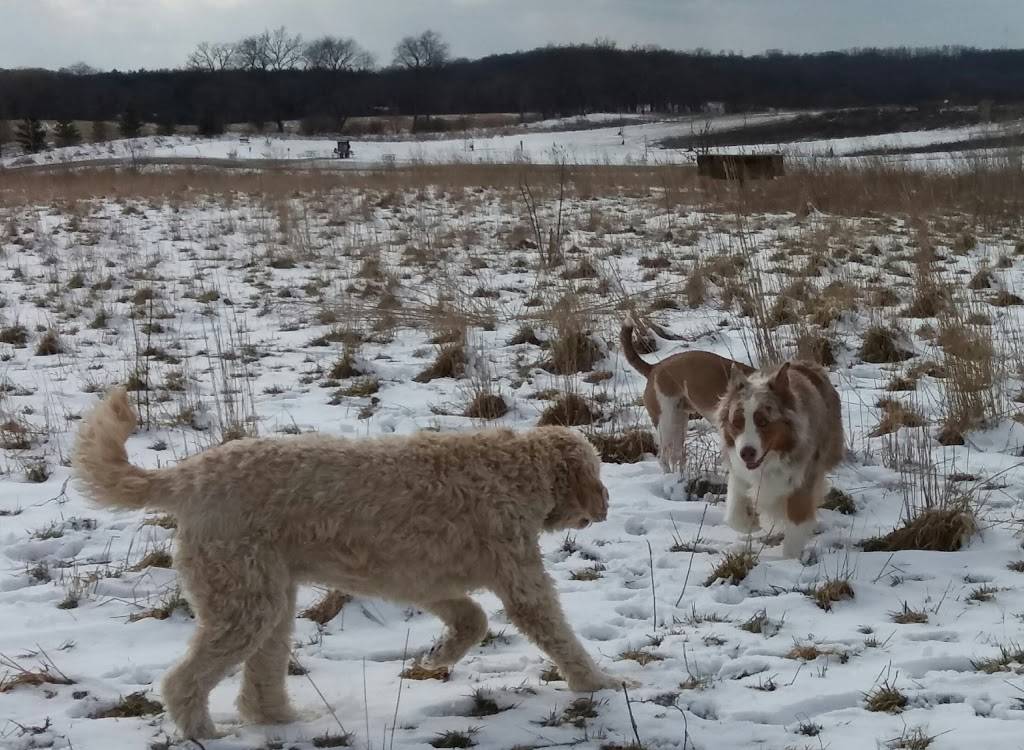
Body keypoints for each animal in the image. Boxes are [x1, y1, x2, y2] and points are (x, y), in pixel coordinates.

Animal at [74, 393, 622, 737]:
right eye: (596, 473)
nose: (607, 505)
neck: (516, 471)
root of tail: (190, 474)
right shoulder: (518, 576)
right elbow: (555, 633)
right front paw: (600, 684)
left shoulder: (428, 581)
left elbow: (473, 620)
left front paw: (437, 656)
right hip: (243, 601)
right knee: (184, 680)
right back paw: (203, 732)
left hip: (270, 599)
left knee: (259, 682)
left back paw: (281, 720)